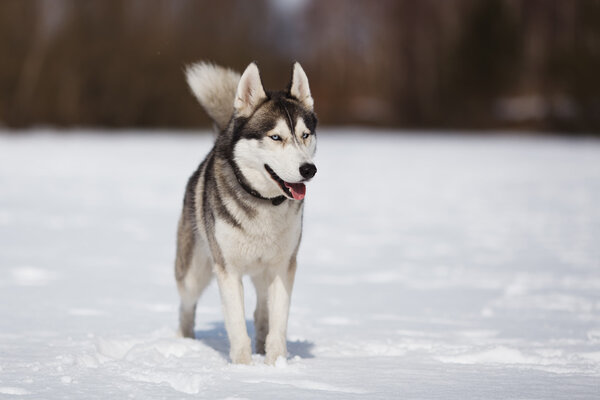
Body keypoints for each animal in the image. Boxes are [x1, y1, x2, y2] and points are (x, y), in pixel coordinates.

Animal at [175, 61, 318, 364]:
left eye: (305, 135)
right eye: (276, 137)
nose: (308, 169)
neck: (264, 203)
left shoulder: (283, 266)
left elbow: (278, 320)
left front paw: (276, 363)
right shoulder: (228, 269)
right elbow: (237, 325)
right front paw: (242, 367)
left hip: (263, 272)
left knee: (262, 309)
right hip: (193, 271)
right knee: (186, 306)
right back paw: (185, 341)